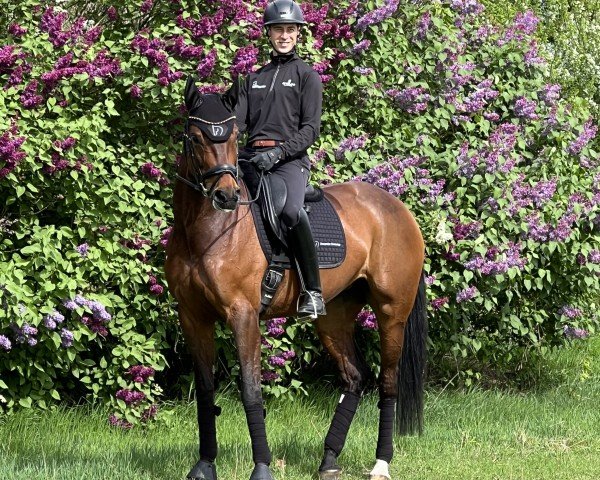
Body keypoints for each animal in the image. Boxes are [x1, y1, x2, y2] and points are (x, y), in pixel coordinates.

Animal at [164, 79, 426, 480]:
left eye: (233, 136)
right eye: (195, 138)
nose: (226, 195)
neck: (209, 231)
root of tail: (398, 209)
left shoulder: (243, 315)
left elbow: (251, 391)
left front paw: (261, 468)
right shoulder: (193, 317)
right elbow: (206, 392)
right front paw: (204, 465)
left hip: (391, 313)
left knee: (388, 382)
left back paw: (381, 463)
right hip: (334, 317)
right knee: (355, 377)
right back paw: (329, 460)